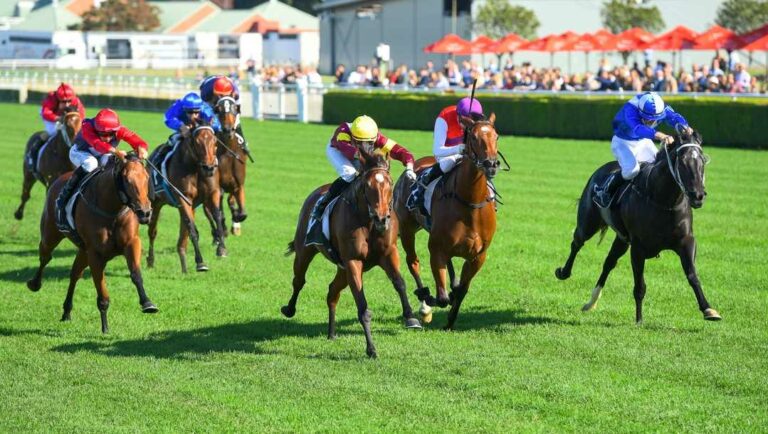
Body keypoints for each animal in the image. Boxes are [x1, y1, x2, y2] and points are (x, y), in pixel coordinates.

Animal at [27, 154, 157, 333]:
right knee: (45, 257)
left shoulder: (131, 243)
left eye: (146, 178)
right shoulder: (95, 254)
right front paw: (105, 328)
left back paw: (67, 311)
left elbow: (136, 274)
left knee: (75, 273)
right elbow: (102, 293)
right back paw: (34, 283)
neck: (111, 210)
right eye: (127, 180)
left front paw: (147, 303)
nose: (145, 213)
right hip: (50, 235)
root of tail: (60, 178)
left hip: (83, 250)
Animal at [147, 125, 228, 273]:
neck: (195, 169)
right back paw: (150, 260)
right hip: (155, 203)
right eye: (196, 142)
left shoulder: (212, 193)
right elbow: (192, 229)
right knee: (152, 231)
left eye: (215, 141)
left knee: (182, 236)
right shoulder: (183, 198)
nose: (209, 167)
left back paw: (183, 264)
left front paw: (222, 249)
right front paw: (200, 262)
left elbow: (217, 218)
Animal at [281, 155, 421, 359]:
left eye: (390, 182)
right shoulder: (353, 261)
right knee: (299, 281)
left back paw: (331, 333)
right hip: (305, 251)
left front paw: (411, 317)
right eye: (367, 185)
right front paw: (371, 348)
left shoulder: (388, 254)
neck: (368, 222)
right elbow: (363, 307)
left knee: (332, 291)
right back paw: (289, 309)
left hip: (342, 269)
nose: (382, 219)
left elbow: (399, 283)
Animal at [393, 113, 501, 330]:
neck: (469, 202)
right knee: (413, 262)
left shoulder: (478, 256)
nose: (491, 164)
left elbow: (462, 290)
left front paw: (450, 320)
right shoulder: (436, 249)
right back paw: (424, 301)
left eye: (496, 136)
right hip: (407, 229)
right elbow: (442, 298)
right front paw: (430, 302)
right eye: (474, 137)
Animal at [554, 129, 720, 323]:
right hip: (588, 222)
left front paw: (709, 309)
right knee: (577, 243)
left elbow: (692, 275)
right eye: (683, 162)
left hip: (621, 239)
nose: (698, 196)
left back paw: (591, 302)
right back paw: (564, 272)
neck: (663, 201)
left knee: (608, 263)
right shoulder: (638, 247)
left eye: (702, 160)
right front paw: (639, 319)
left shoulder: (685, 241)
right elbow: (640, 286)